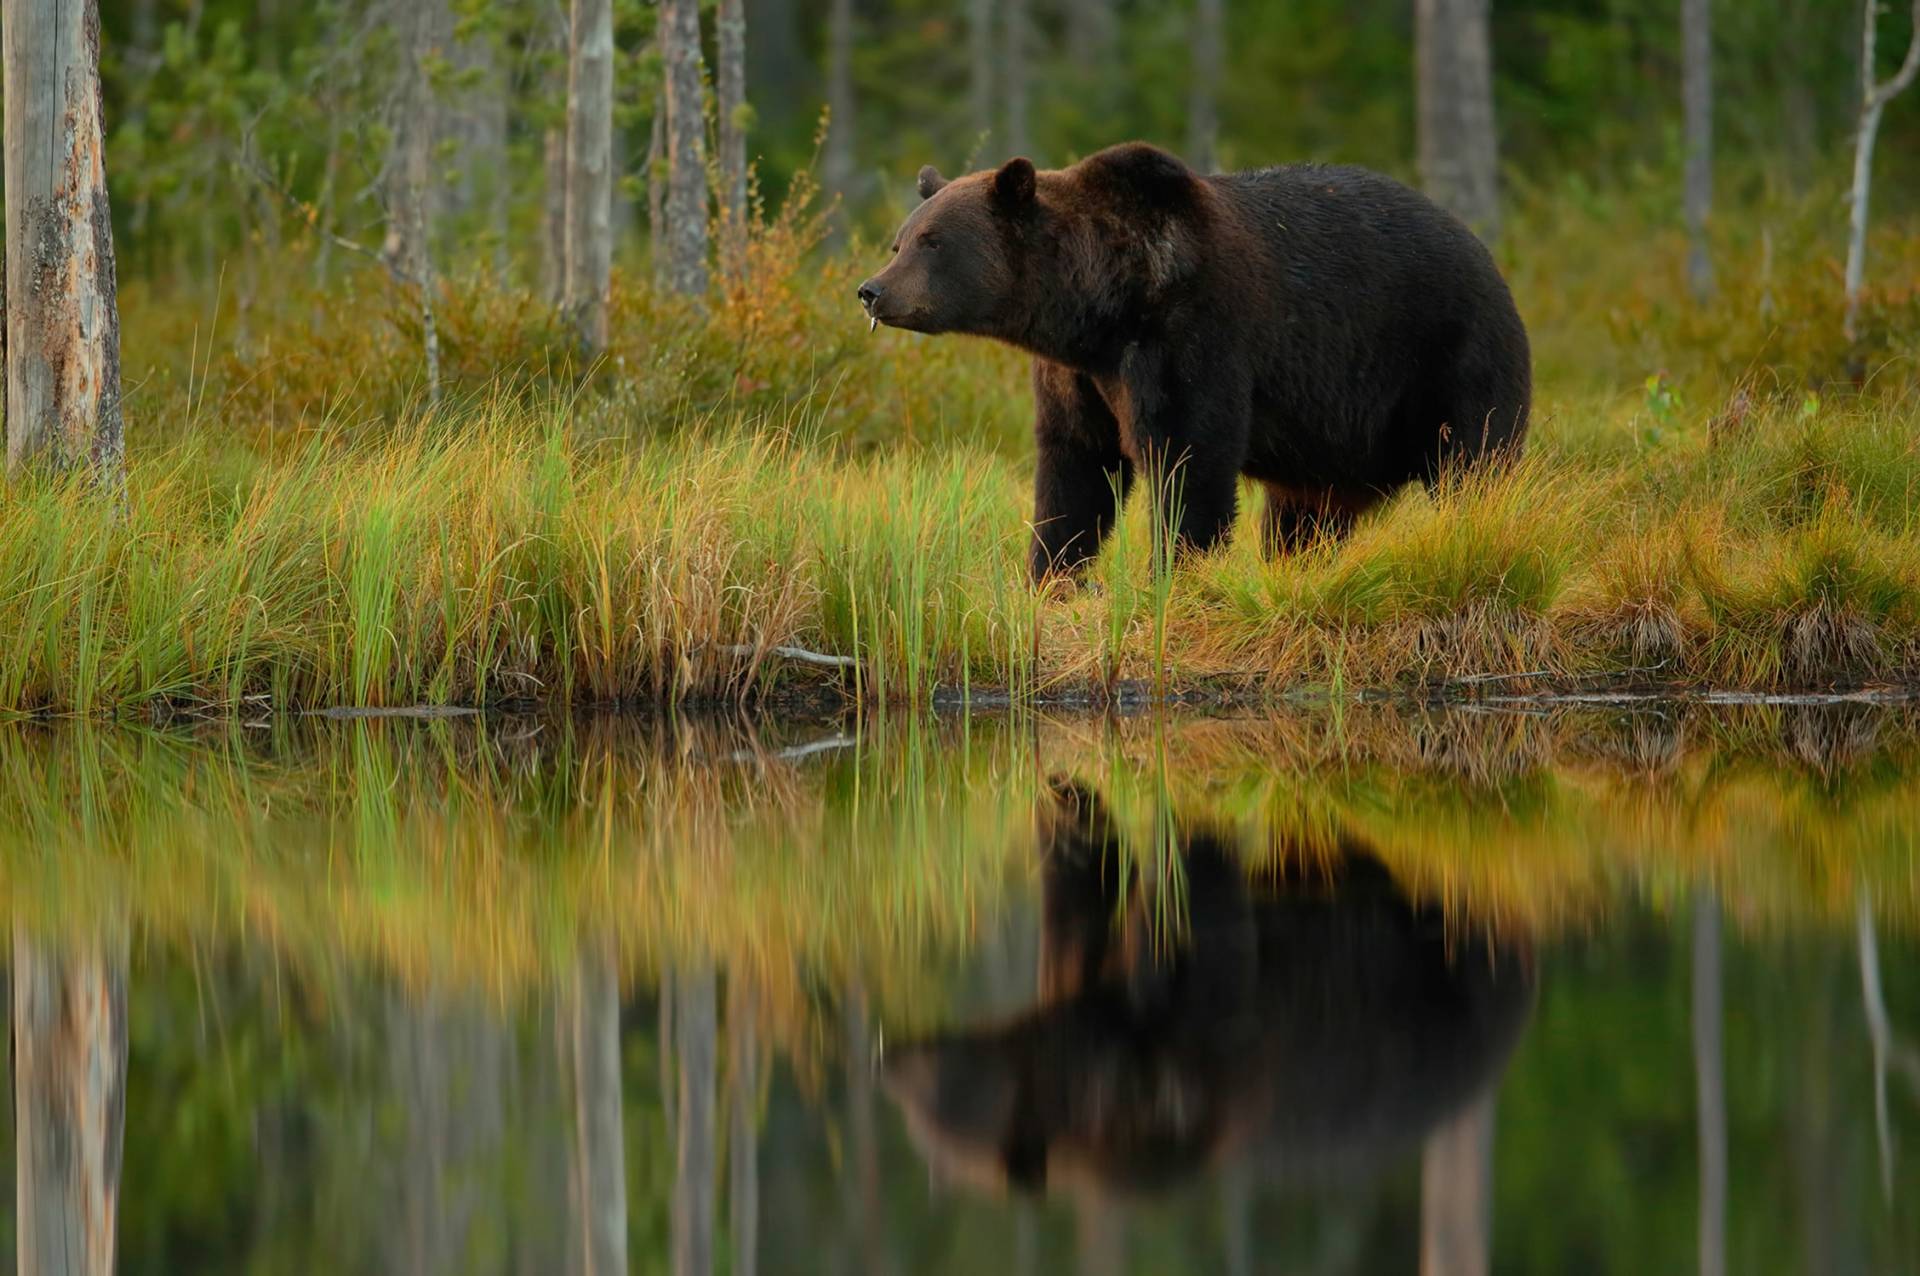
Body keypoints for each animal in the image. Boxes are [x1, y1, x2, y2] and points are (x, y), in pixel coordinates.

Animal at [856, 142, 1528, 575]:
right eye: (900, 240)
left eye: (932, 241)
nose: (872, 289)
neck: (1101, 307)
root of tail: (1490, 258)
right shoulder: (1078, 377)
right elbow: (1074, 472)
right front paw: (1051, 576)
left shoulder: (1192, 336)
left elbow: (1190, 460)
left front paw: (1174, 575)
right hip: (1331, 444)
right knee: (1303, 516)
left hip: (1449, 357)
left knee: (1475, 464)